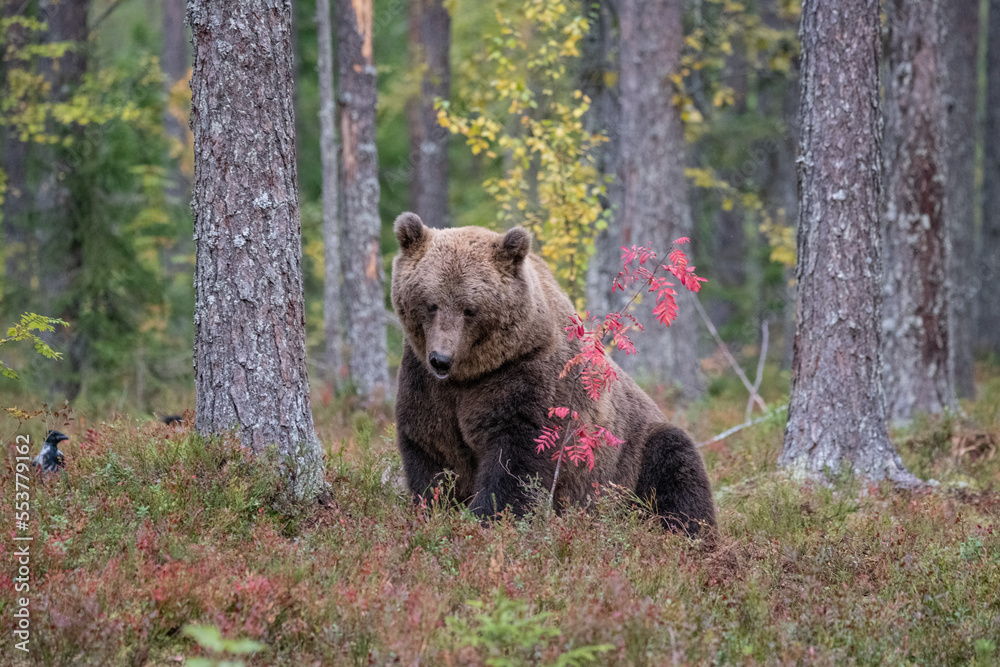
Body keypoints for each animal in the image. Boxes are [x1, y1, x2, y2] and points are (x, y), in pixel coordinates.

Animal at [390, 212, 716, 536]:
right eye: (431, 304)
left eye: (470, 309)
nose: (441, 360)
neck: (473, 374)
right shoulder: (426, 384)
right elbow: (432, 450)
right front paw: (435, 509)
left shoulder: (527, 378)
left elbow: (515, 462)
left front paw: (486, 518)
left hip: (632, 455)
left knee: (676, 463)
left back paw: (687, 532)